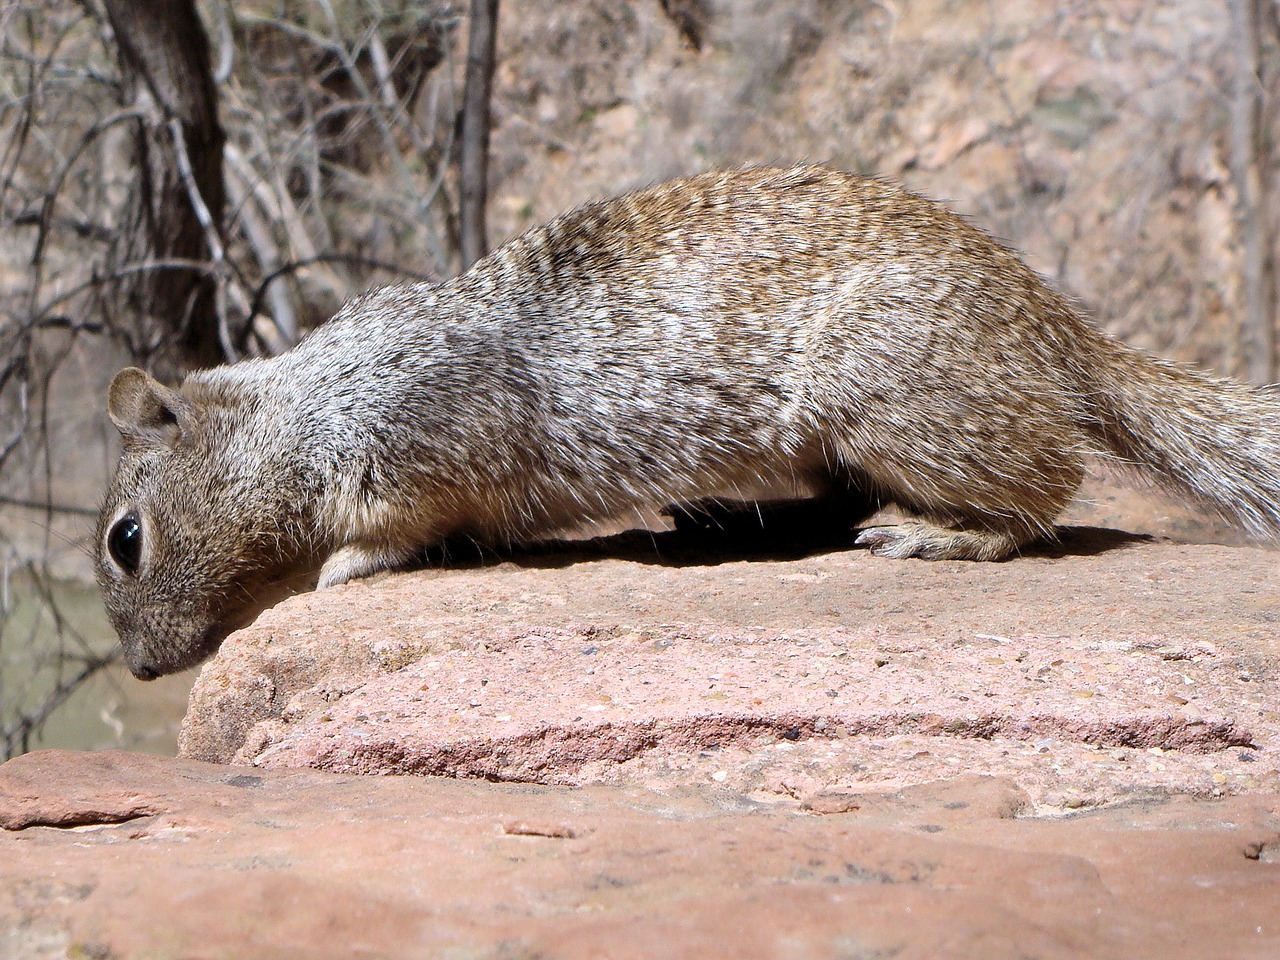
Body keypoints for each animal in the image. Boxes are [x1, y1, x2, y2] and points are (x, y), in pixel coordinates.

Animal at [94, 163, 1280, 675]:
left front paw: (345, 565)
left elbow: (403, 521)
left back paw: (938, 531)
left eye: (124, 540)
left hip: (888, 387)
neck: (304, 407)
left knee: (1044, 484)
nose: (145, 673)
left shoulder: (428, 427)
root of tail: (1064, 331)